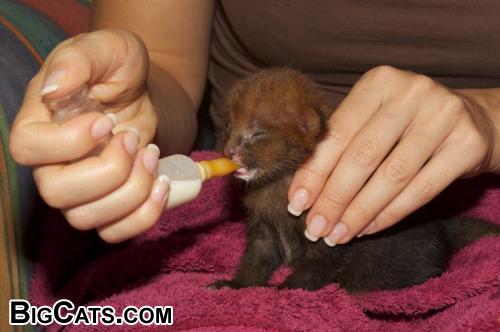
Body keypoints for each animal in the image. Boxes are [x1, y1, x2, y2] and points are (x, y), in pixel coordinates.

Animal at [208, 67, 500, 294]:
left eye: (258, 132)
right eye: (228, 126)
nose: (229, 152)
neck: (278, 188)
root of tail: (443, 228)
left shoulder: (326, 235)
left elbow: (312, 269)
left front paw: (283, 290)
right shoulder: (264, 230)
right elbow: (254, 263)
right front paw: (233, 285)